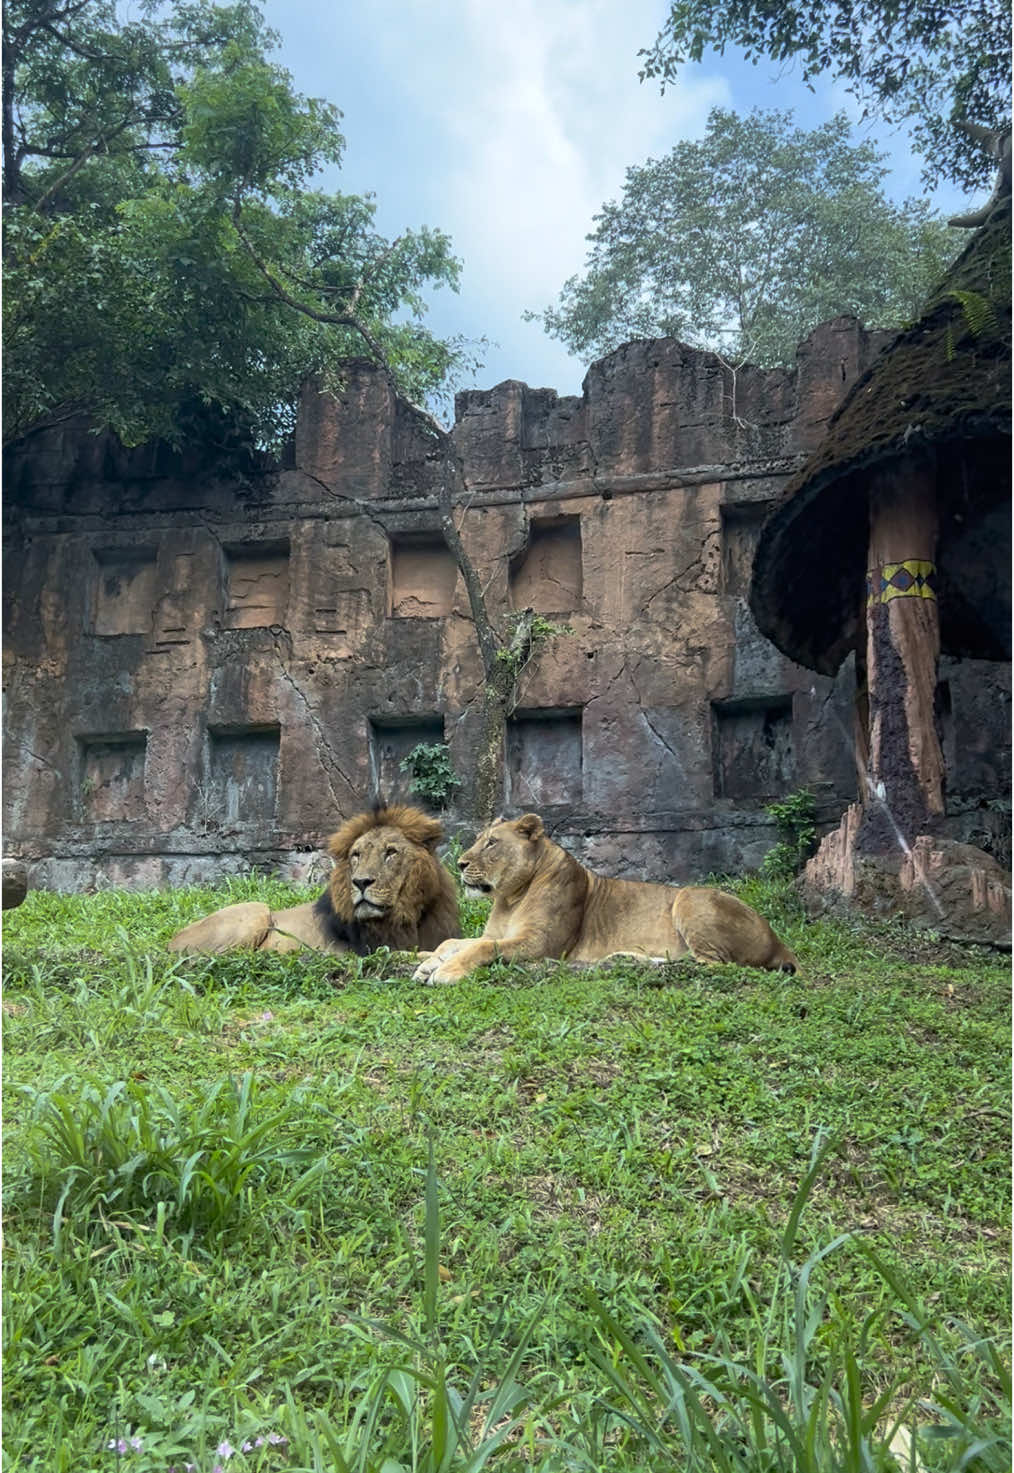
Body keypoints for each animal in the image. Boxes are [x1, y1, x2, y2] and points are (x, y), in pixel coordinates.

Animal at [169, 807, 459, 954]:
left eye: (390, 852)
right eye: (356, 855)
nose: (361, 882)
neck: (407, 917)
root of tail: (171, 941)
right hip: (255, 910)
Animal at [412, 813, 801, 983]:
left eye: (491, 843)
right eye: (479, 840)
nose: (460, 863)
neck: (510, 898)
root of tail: (779, 941)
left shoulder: (541, 944)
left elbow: (479, 948)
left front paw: (445, 972)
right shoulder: (499, 933)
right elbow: (452, 942)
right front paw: (429, 962)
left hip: (691, 898)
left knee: (713, 964)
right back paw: (627, 959)